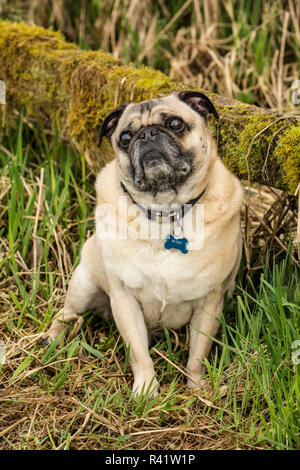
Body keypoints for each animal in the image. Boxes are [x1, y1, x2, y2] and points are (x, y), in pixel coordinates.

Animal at [42, 90, 244, 394]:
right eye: (125, 138)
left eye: (175, 124)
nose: (147, 134)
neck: (165, 212)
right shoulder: (125, 301)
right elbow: (138, 352)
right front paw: (146, 390)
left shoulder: (210, 302)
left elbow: (198, 354)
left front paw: (196, 389)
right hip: (83, 284)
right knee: (65, 313)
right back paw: (51, 339)